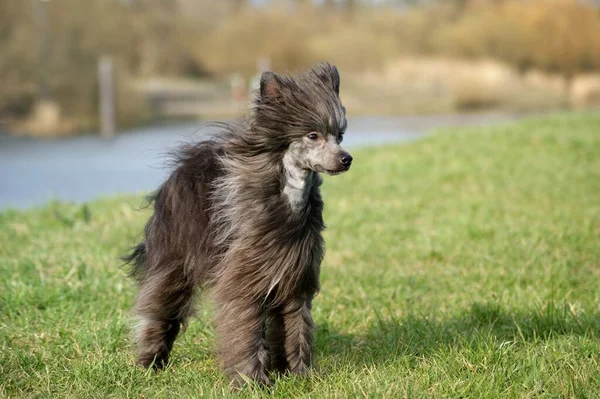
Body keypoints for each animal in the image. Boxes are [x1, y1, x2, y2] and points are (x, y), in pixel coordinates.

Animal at [125, 63, 354, 388]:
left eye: (340, 135)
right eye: (313, 135)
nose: (346, 159)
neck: (287, 199)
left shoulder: (295, 278)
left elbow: (296, 325)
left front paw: (299, 375)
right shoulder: (244, 278)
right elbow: (246, 328)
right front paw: (253, 380)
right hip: (173, 260)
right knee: (160, 308)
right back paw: (150, 362)